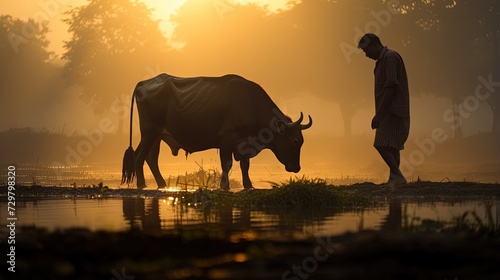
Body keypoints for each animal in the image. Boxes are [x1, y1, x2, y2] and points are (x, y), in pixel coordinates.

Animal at [121, 73, 310, 189]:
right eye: (294, 141)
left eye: (301, 141)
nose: (297, 167)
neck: (251, 103)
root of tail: (145, 82)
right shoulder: (227, 139)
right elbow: (227, 164)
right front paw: (224, 186)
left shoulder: (244, 142)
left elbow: (245, 164)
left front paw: (249, 185)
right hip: (149, 133)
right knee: (140, 156)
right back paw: (142, 184)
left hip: (157, 136)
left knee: (150, 158)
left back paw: (161, 184)